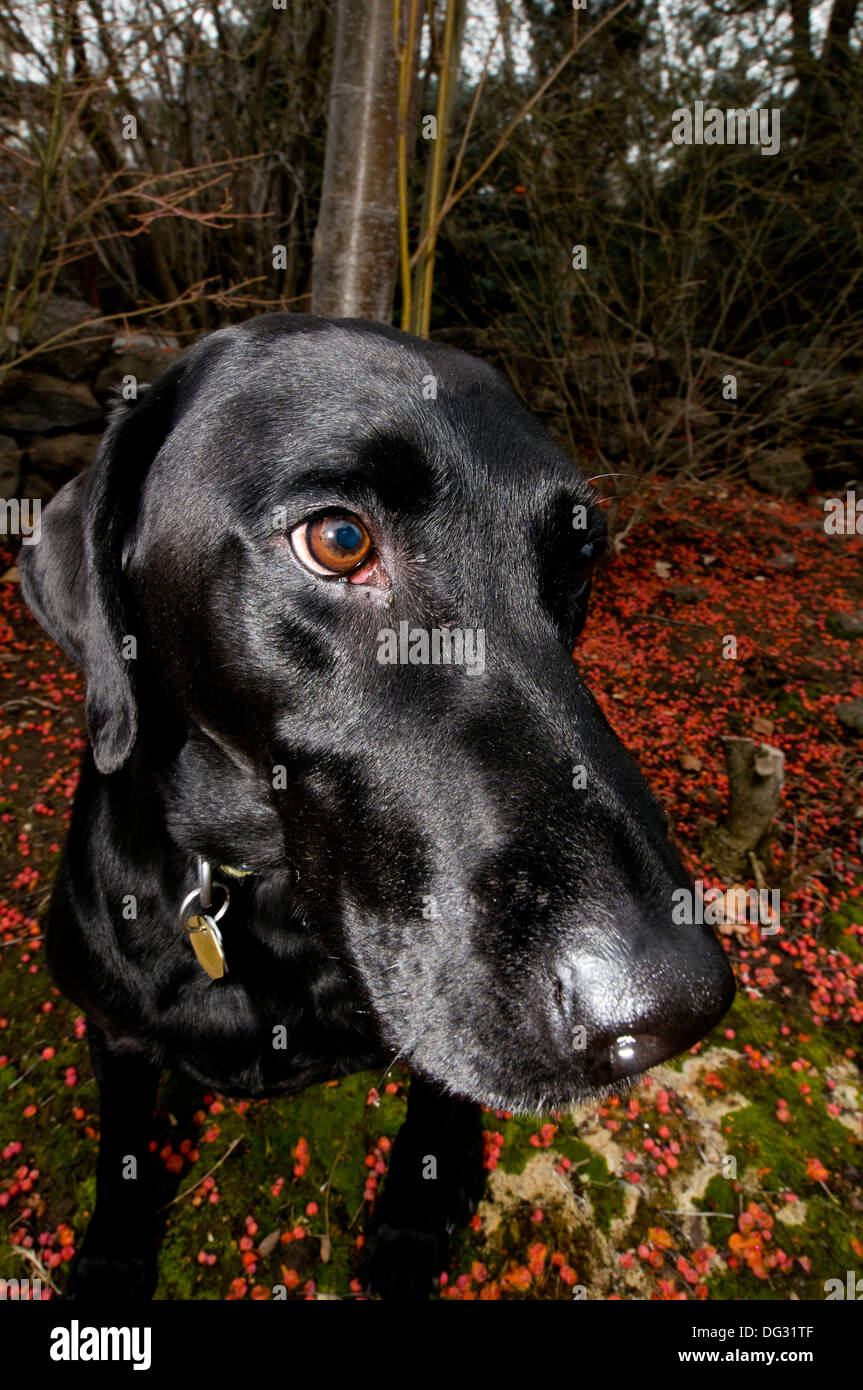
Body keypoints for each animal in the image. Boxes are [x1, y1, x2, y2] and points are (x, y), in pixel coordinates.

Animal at [18, 315, 733, 1301]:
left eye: (578, 561)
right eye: (339, 540)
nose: (672, 1005)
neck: (264, 900)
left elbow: (436, 1103)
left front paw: (412, 1219)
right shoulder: (117, 1036)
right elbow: (123, 1149)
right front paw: (112, 1259)